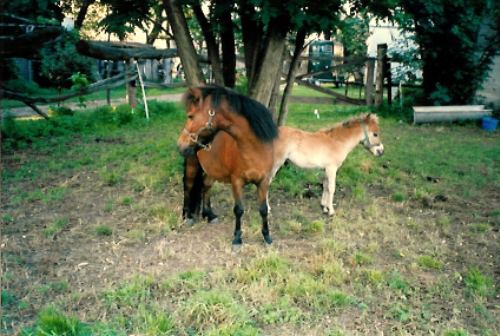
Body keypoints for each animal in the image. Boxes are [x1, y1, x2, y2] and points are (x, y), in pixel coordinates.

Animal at [177, 85, 280, 245]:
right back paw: (187, 216)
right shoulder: (237, 181)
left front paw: (267, 237)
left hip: (212, 169)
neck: (255, 149)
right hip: (192, 164)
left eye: (191, 116)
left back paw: (209, 214)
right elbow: (239, 209)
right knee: (188, 186)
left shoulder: (264, 182)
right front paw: (237, 238)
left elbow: (263, 209)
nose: (180, 145)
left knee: (205, 186)